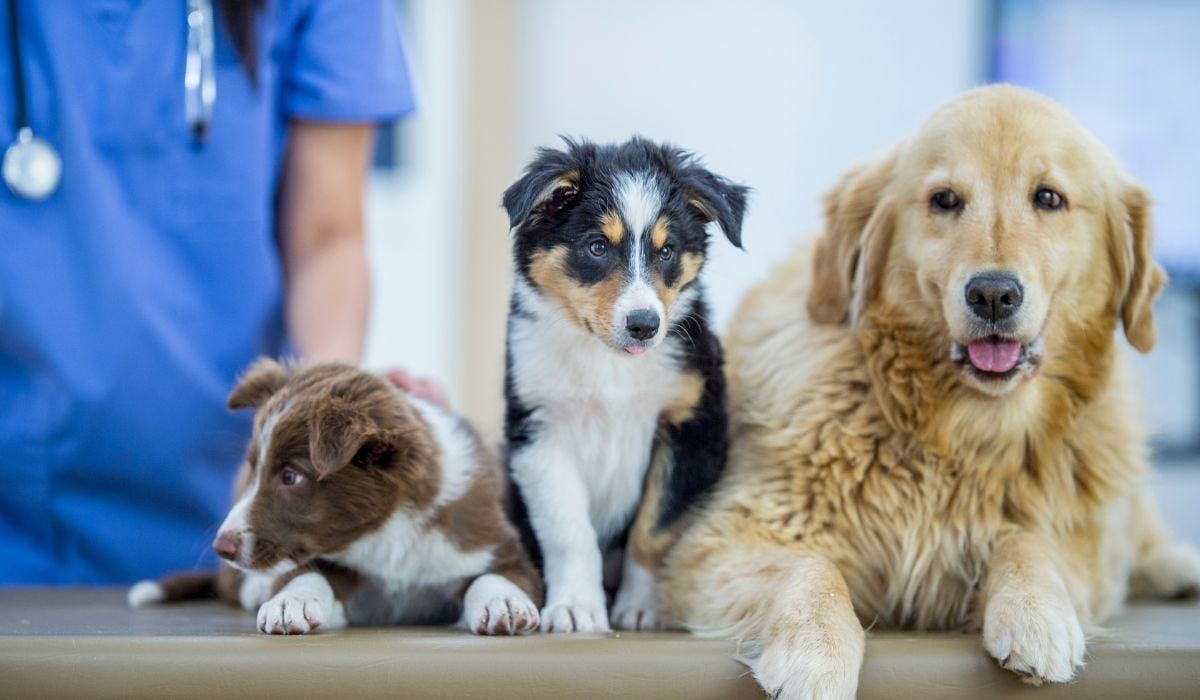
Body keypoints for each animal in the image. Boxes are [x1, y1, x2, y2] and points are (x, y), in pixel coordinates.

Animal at [129, 362, 542, 633]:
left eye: (291, 477)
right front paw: (289, 602)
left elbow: (497, 575)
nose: (221, 547)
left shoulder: (494, 543)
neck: (388, 534)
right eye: (253, 468)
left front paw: (503, 601)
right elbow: (306, 574)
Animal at [501, 138, 744, 633]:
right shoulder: (538, 430)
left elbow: (654, 527)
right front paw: (576, 608)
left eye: (667, 251)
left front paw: (640, 608)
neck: (608, 363)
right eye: (597, 247)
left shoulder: (691, 425)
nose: (644, 325)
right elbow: (568, 530)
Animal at [662, 84, 1195, 696]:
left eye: (1048, 198)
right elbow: (810, 565)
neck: (956, 431)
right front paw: (815, 650)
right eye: (944, 200)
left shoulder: (1083, 547)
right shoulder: (715, 543)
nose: (993, 295)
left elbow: (1029, 541)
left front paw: (1036, 613)